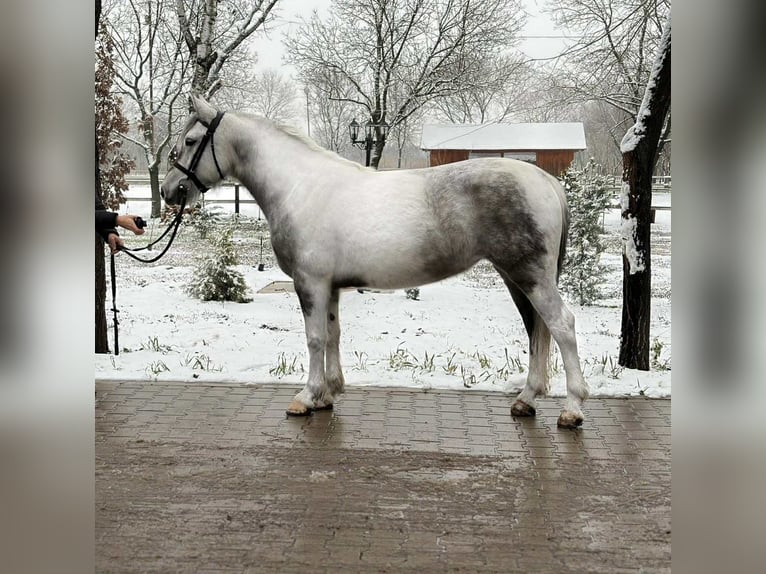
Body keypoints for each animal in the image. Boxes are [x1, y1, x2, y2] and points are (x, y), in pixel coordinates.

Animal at [161, 95, 590, 429]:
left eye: (191, 140)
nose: (169, 191)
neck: (299, 188)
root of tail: (545, 181)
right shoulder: (330, 287)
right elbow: (332, 334)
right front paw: (328, 394)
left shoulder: (310, 283)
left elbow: (314, 338)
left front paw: (306, 397)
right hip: (516, 277)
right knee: (537, 329)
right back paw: (526, 400)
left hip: (528, 274)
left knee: (561, 325)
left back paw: (572, 409)